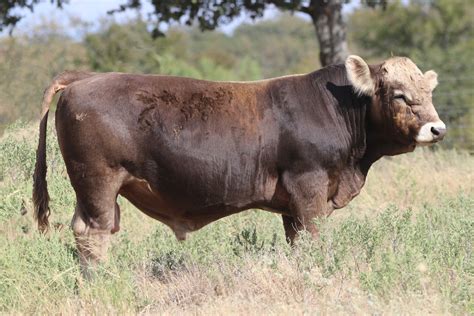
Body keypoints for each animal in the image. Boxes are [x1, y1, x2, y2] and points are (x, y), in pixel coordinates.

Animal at [33, 55, 444, 272]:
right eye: (400, 95)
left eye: (428, 92)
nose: (437, 128)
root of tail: (87, 76)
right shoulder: (309, 187)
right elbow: (313, 238)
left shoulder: (291, 204)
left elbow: (296, 241)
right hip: (97, 181)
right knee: (93, 232)